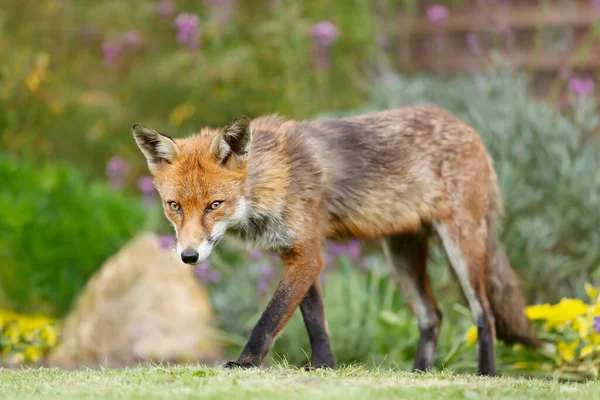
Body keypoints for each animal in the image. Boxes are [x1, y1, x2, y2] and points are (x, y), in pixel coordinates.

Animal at [134, 106, 540, 376]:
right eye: (174, 206)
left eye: (214, 205)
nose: (188, 256)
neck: (269, 183)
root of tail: (468, 128)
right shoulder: (299, 252)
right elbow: (315, 321)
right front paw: (325, 367)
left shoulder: (308, 253)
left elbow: (269, 318)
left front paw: (246, 362)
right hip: (402, 254)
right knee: (432, 316)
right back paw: (419, 374)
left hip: (460, 247)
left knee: (483, 313)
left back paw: (486, 374)